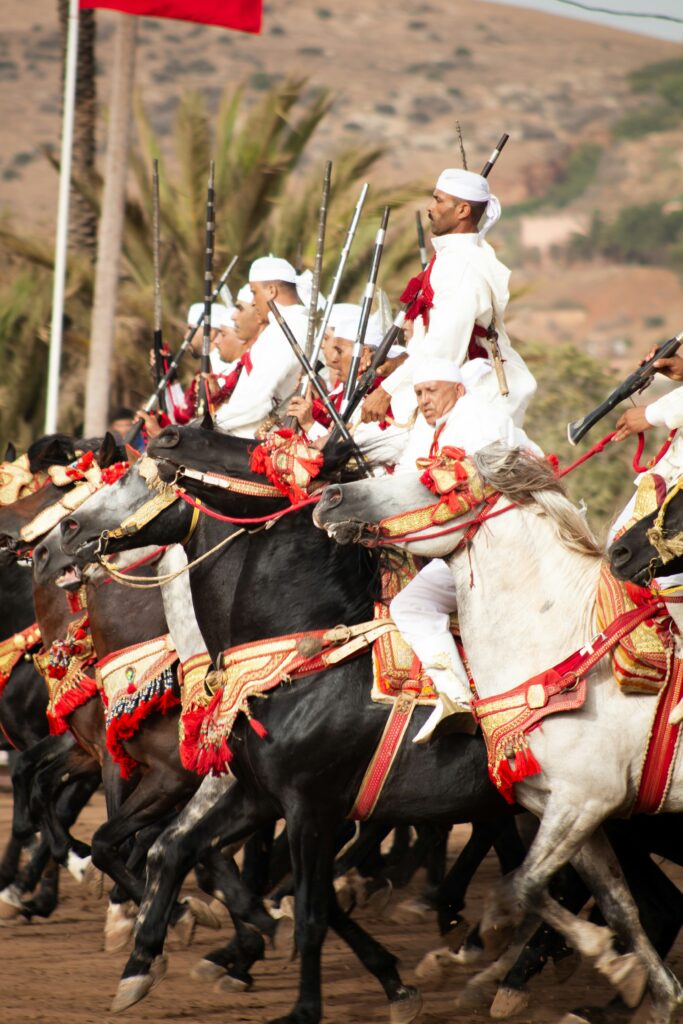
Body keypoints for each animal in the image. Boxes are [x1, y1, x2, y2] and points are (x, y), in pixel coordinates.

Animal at [315, 442, 683, 1024]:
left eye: (429, 480)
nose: (329, 497)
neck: (566, 649)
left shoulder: (584, 801)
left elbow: (524, 884)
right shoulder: (567, 812)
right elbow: (613, 906)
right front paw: (641, 983)